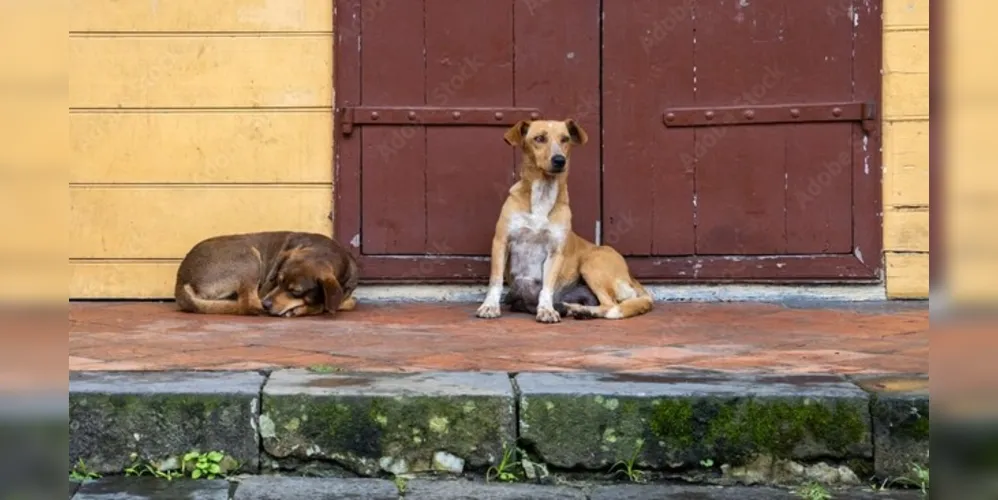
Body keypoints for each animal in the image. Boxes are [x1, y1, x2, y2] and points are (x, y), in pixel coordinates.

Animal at [176, 232, 360, 318]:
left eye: (296, 291)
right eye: (277, 280)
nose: (266, 304)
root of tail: (180, 281)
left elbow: (347, 301)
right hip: (248, 257)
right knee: (248, 303)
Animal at [478, 120, 656, 324]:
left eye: (565, 139)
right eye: (539, 138)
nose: (559, 160)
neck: (543, 194)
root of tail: (631, 278)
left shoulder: (555, 252)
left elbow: (547, 287)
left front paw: (546, 310)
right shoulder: (501, 242)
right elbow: (495, 281)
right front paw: (490, 306)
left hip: (591, 262)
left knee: (610, 306)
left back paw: (581, 310)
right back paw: (573, 308)